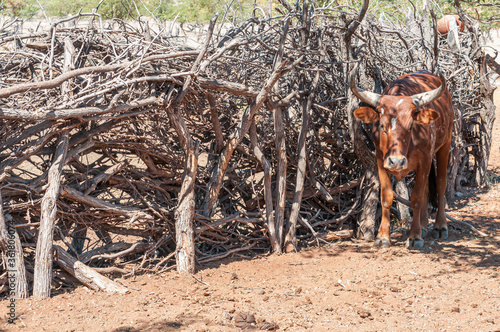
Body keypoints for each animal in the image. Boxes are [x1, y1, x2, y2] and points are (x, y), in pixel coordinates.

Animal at [352, 63, 454, 248]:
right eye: (382, 125)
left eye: (410, 126)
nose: (397, 162)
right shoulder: (381, 160)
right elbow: (386, 196)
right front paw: (382, 237)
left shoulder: (425, 159)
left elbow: (416, 198)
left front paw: (414, 237)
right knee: (427, 189)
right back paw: (423, 225)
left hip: (445, 144)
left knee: (441, 184)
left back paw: (440, 226)